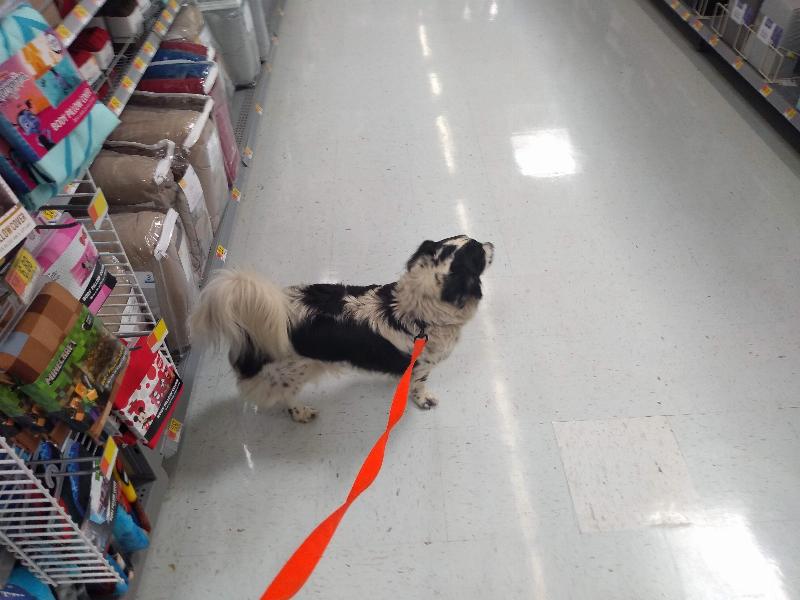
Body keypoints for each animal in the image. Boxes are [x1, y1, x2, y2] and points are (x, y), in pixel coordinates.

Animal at [190, 235, 494, 422]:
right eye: (479, 253)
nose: (492, 243)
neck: (417, 312)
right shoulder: (422, 366)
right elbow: (419, 386)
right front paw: (423, 400)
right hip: (290, 374)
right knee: (286, 397)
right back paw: (301, 412)